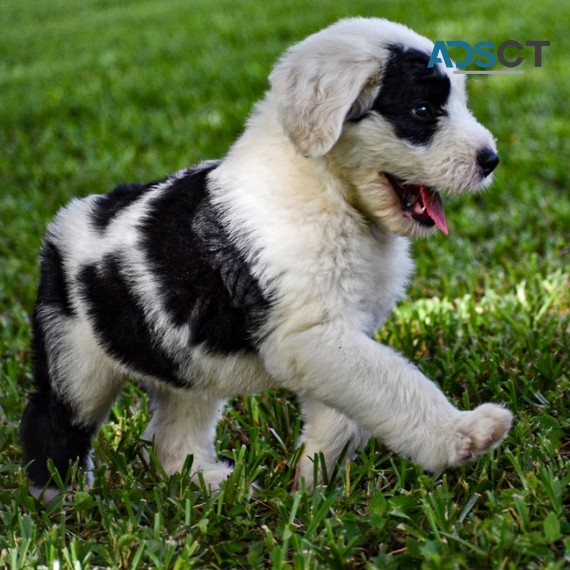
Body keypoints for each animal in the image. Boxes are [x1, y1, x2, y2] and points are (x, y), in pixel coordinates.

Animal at [21, 16, 510, 496]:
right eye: (422, 111)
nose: (491, 160)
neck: (329, 191)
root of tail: (66, 222)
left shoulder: (331, 338)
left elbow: (346, 415)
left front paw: (311, 483)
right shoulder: (308, 336)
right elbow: (394, 383)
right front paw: (463, 435)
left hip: (188, 369)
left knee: (171, 437)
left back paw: (209, 481)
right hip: (77, 359)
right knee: (52, 419)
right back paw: (60, 499)